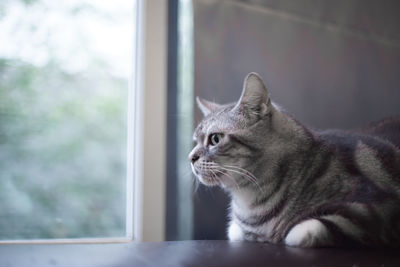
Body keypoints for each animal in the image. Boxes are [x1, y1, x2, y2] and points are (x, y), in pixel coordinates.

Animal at [189, 72, 400, 248]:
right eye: (195, 141)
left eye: (215, 139)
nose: (191, 157)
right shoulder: (237, 230)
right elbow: (236, 232)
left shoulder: (372, 210)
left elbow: (302, 232)